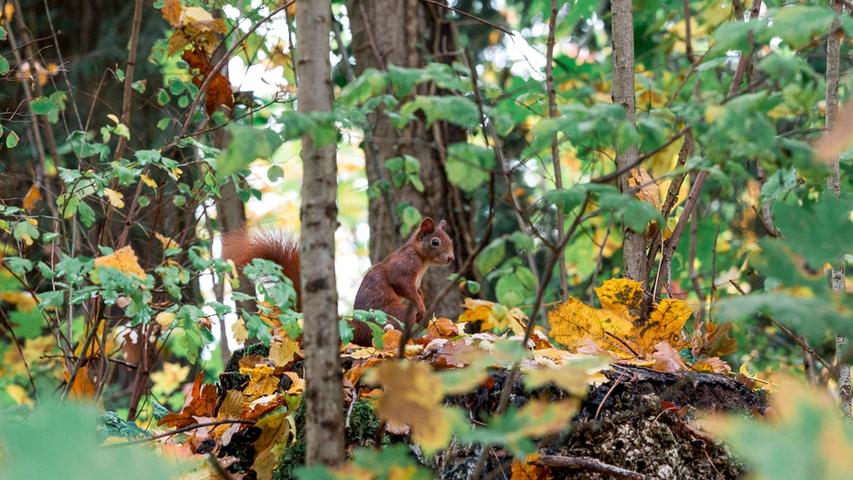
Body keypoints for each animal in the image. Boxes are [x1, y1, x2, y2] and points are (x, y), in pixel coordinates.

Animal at [220, 217, 452, 344]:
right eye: (435, 242)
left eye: (449, 240)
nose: (451, 258)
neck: (421, 260)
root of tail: (358, 329)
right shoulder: (401, 270)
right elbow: (405, 288)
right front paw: (421, 303)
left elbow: (417, 290)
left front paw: (422, 297)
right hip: (393, 314)